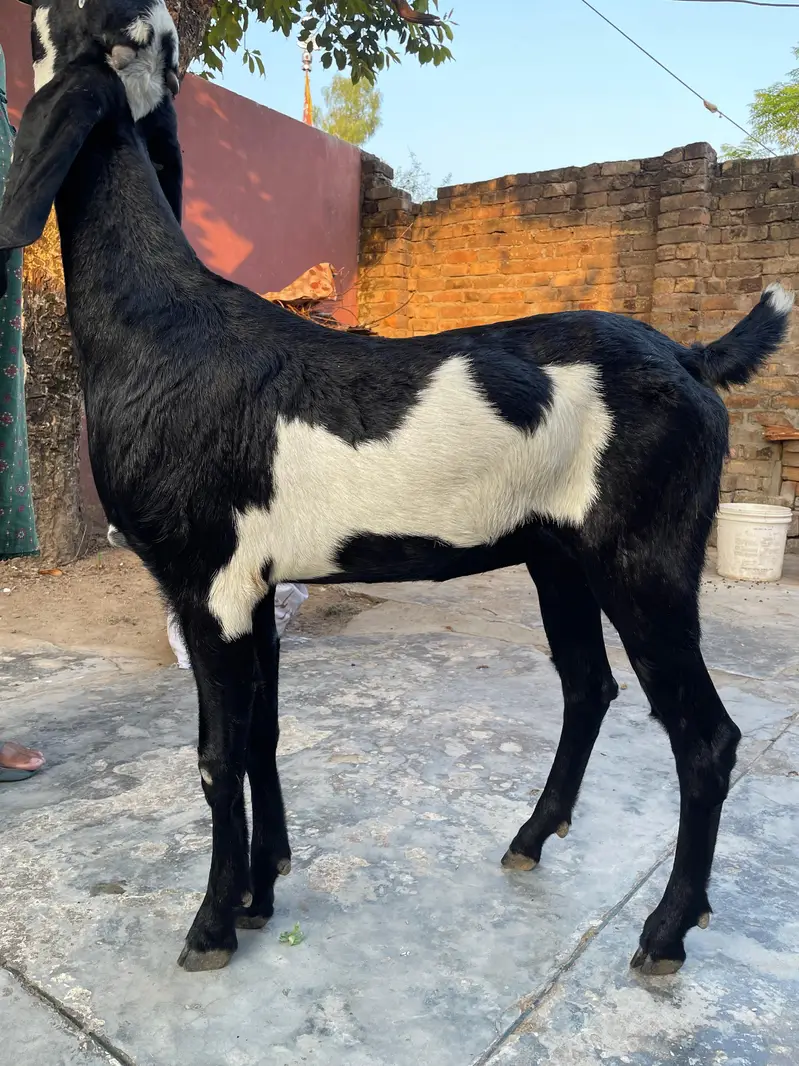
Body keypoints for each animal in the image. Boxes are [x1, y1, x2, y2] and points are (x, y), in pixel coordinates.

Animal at [0, 0, 793, 976]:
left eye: (50, 23)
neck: (162, 323)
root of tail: (690, 357)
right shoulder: (256, 586)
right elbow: (262, 734)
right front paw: (264, 889)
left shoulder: (207, 580)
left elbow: (217, 755)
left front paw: (212, 926)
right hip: (558, 557)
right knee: (588, 687)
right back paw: (531, 837)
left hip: (644, 559)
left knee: (704, 737)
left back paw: (665, 931)